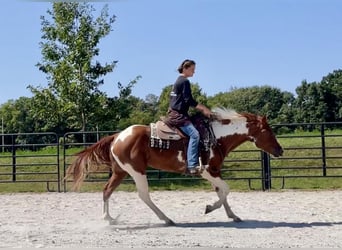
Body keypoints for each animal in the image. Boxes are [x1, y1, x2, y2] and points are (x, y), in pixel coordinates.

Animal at [64, 108, 284, 226]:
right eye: (268, 131)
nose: (280, 150)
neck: (216, 137)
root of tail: (118, 135)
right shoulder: (206, 170)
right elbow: (226, 189)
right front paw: (209, 208)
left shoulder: (215, 171)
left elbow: (222, 191)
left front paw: (233, 215)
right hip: (137, 171)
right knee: (143, 195)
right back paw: (166, 219)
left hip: (120, 172)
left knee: (106, 191)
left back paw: (108, 218)